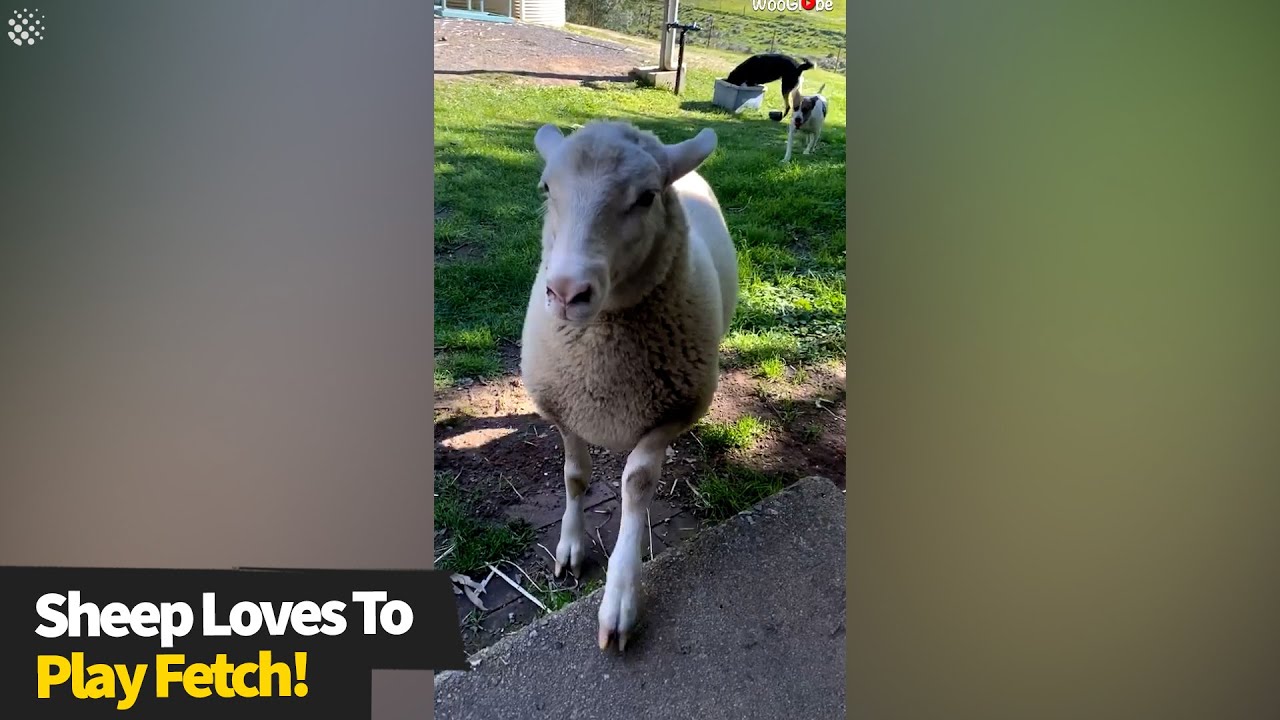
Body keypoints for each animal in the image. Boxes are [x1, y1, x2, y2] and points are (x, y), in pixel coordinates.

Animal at [519, 120, 738, 652]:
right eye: (547, 188)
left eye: (646, 197)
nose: (566, 292)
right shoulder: (564, 409)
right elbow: (575, 476)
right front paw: (570, 547)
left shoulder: (672, 413)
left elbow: (636, 484)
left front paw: (620, 598)